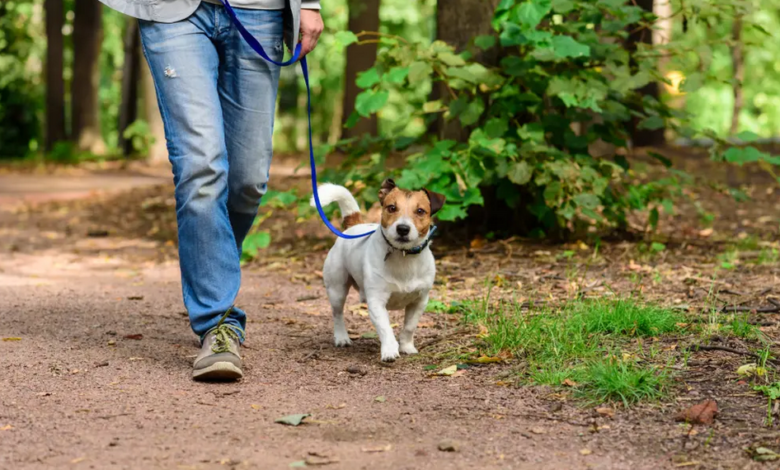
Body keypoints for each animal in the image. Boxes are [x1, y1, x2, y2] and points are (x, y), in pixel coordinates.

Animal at [310, 179, 444, 360]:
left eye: (420, 211)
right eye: (392, 207)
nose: (403, 228)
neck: (403, 256)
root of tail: (354, 226)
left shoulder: (419, 301)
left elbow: (409, 327)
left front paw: (407, 347)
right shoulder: (376, 301)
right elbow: (386, 329)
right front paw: (389, 351)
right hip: (337, 289)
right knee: (337, 314)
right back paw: (341, 338)